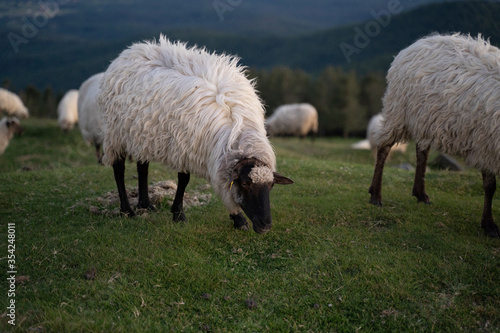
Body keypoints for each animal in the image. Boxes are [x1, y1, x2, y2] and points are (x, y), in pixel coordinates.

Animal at [98, 35, 292, 233]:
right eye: (245, 184)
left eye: (271, 185)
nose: (265, 225)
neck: (235, 129)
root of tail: (131, 51)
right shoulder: (184, 146)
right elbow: (184, 180)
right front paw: (179, 215)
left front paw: (237, 219)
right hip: (115, 133)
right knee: (118, 167)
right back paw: (127, 210)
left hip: (141, 132)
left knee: (142, 166)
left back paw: (146, 205)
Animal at [368, 33, 500, 236]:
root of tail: (418, 43)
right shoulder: (485, 143)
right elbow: (490, 186)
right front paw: (489, 225)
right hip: (399, 110)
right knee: (384, 147)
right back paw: (376, 195)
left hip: (425, 118)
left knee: (421, 153)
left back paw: (420, 194)